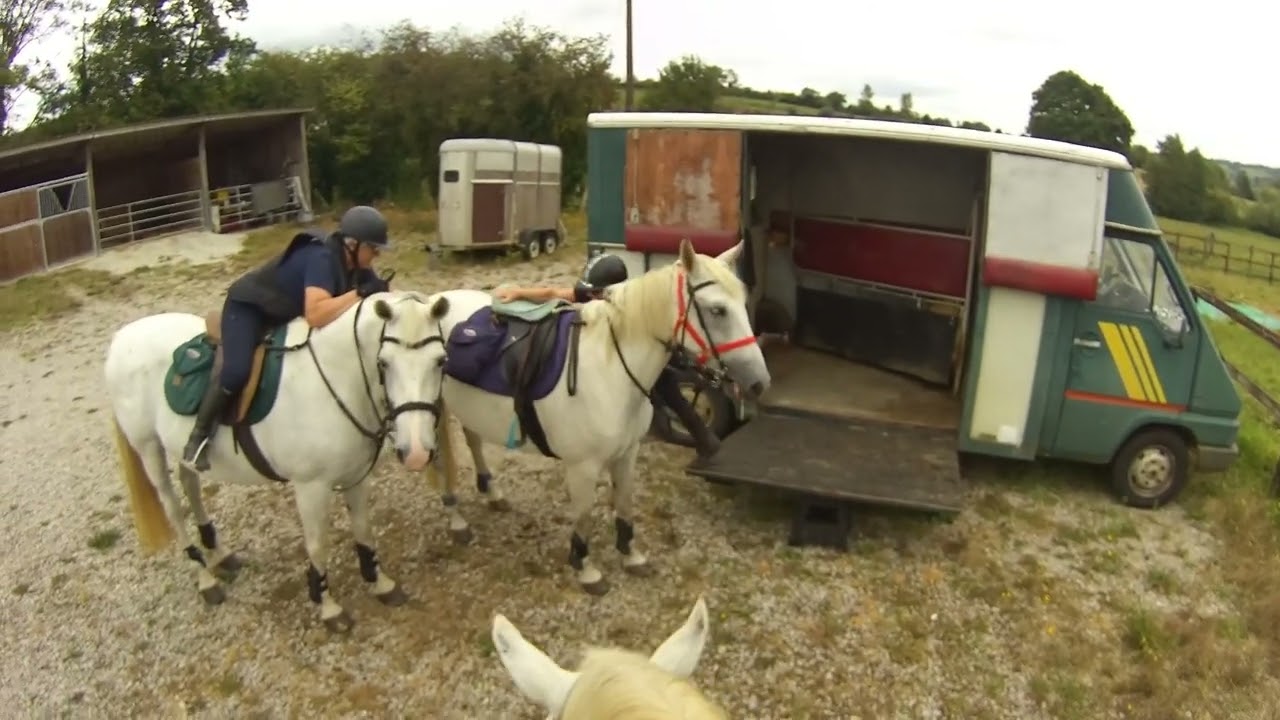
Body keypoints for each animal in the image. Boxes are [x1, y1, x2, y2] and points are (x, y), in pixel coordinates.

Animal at [103, 290, 451, 632]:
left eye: (440, 361)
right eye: (384, 362)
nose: (417, 451)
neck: (339, 379)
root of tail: (123, 336)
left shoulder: (357, 477)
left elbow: (364, 530)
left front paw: (380, 583)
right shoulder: (311, 487)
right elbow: (317, 545)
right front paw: (327, 606)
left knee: (190, 485)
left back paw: (218, 553)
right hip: (149, 447)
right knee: (173, 507)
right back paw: (204, 578)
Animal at [424, 238, 770, 595]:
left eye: (743, 303)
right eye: (717, 310)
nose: (760, 382)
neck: (610, 370)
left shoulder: (627, 454)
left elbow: (625, 504)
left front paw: (631, 555)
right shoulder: (582, 467)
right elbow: (584, 517)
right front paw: (586, 569)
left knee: (473, 440)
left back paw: (492, 493)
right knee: (441, 461)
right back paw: (457, 520)